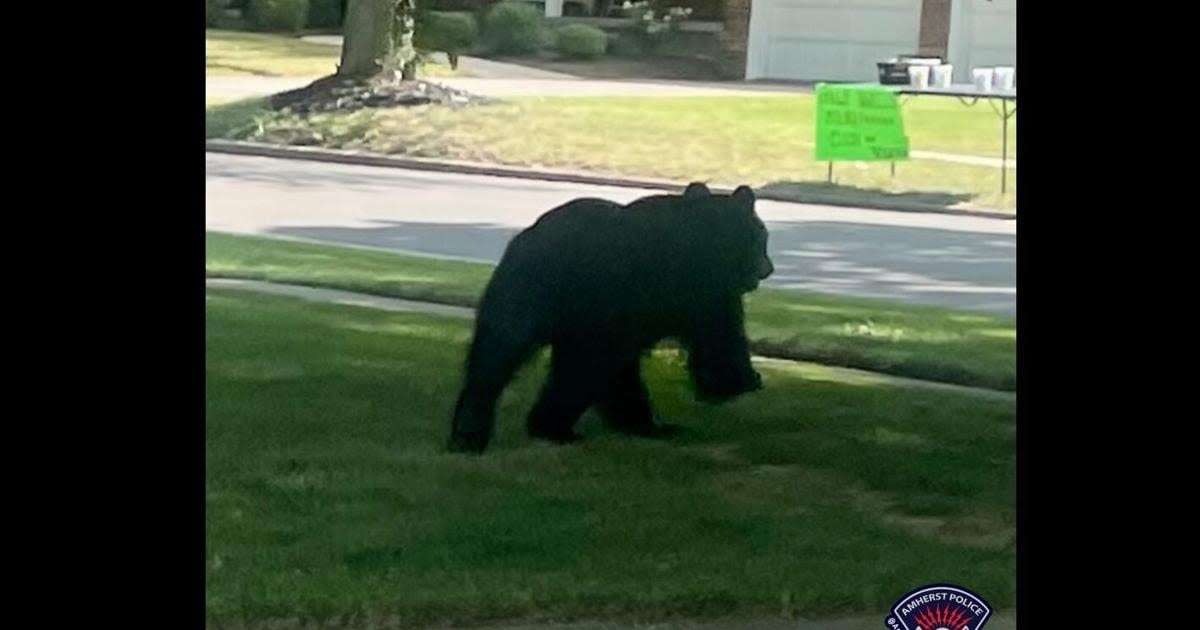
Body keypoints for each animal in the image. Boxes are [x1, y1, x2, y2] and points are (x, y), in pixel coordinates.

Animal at [446, 181, 772, 451]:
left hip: (522, 294)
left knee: (495, 355)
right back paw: (550, 427)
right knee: (573, 367)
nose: (767, 269)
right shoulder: (697, 292)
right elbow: (719, 338)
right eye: (761, 238)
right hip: (566, 302)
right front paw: (740, 381)